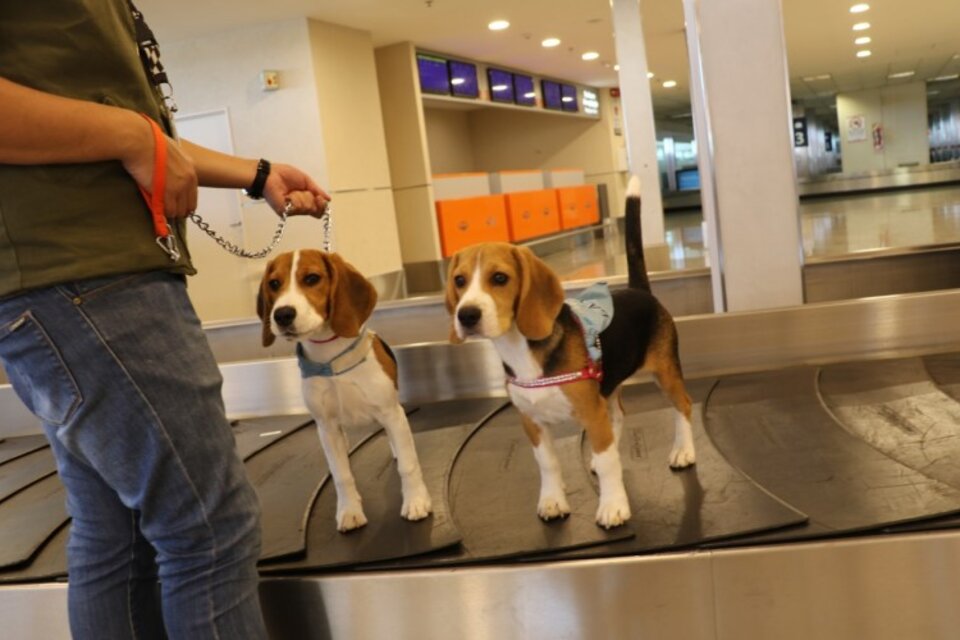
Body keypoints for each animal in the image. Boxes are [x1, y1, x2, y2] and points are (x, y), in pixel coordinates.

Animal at [258, 249, 432, 528]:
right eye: (274, 284)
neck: (330, 360)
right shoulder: (327, 427)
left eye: (312, 278)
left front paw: (415, 501)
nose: (282, 314)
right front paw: (350, 510)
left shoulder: (390, 413)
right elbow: (342, 475)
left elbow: (408, 465)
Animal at [446, 178, 692, 528]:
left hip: (665, 372)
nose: (466, 315)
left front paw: (613, 505)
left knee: (682, 405)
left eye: (499, 278)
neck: (521, 350)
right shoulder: (532, 421)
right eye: (459, 280)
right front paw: (552, 501)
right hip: (609, 388)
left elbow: (608, 463)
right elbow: (548, 463)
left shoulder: (591, 412)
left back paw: (684, 452)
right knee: (618, 416)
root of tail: (638, 290)